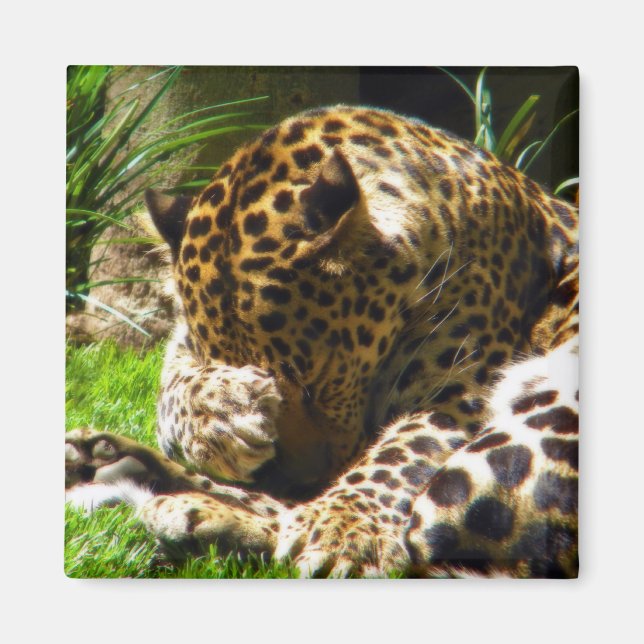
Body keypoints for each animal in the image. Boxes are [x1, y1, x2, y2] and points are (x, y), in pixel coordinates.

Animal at [65, 105, 579, 578]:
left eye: (322, 381)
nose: (301, 481)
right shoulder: (181, 346)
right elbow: (171, 390)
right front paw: (223, 414)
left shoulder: (458, 391)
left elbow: (404, 447)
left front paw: (344, 525)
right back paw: (112, 464)